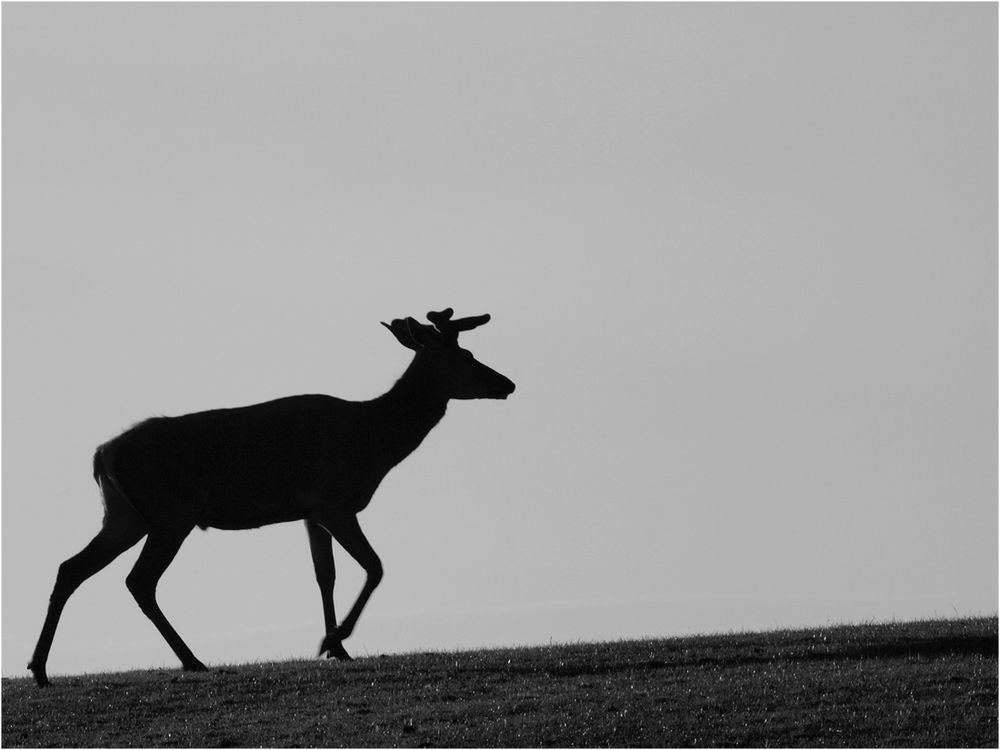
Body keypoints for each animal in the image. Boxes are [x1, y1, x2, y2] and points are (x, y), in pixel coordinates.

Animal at [29, 310, 516, 688]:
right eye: (466, 357)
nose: (508, 383)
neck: (373, 442)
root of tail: (101, 454)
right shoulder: (333, 500)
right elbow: (374, 566)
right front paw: (334, 639)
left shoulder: (311, 512)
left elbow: (325, 575)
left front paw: (337, 647)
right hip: (170, 513)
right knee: (138, 580)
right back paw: (191, 659)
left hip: (124, 516)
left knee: (71, 568)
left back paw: (39, 667)